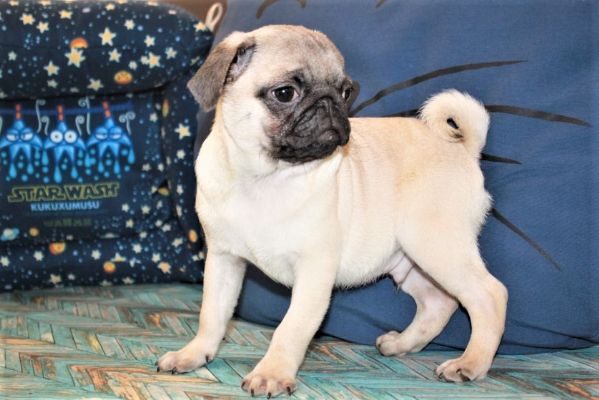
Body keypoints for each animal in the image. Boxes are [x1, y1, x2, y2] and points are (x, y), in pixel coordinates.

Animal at [157, 25, 508, 397]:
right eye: (285, 93)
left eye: (345, 91)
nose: (330, 104)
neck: (263, 177)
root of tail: (464, 149)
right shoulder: (224, 259)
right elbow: (212, 314)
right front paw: (195, 354)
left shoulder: (314, 270)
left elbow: (292, 327)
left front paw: (272, 373)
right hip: (409, 259)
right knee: (438, 303)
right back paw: (402, 345)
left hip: (436, 244)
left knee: (489, 295)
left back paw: (470, 363)